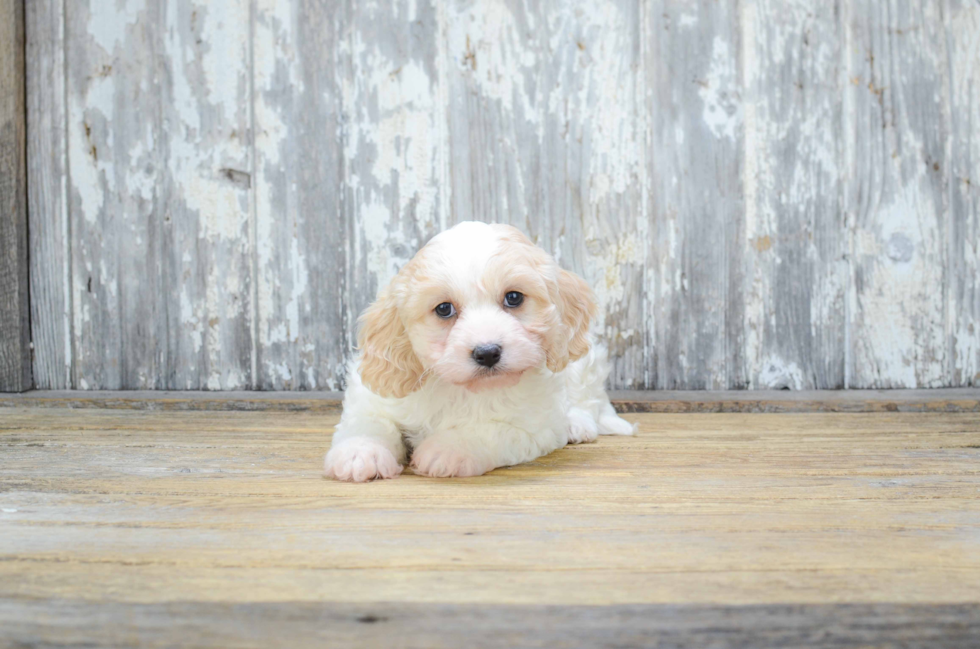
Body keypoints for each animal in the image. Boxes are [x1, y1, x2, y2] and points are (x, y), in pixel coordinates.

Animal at [324, 223, 636, 480]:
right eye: (444, 309)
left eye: (514, 298)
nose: (487, 353)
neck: (462, 389)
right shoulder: (372, 398)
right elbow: (368, 423)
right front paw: (360, 453)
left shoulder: (534, 427)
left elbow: (488, 431)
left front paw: (449, 449)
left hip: (583, 364)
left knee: (588, 400)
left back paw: (577, 424)